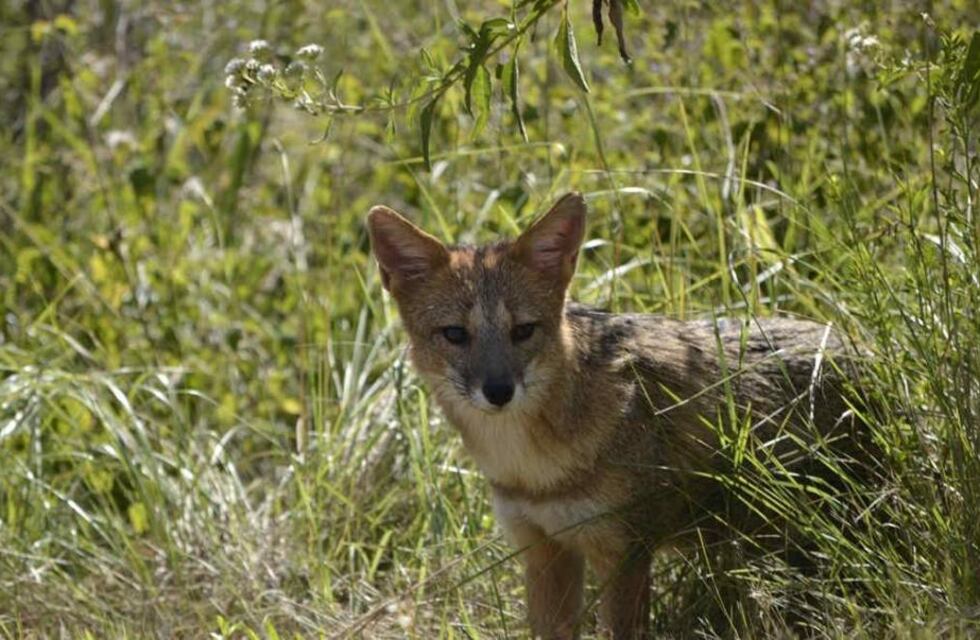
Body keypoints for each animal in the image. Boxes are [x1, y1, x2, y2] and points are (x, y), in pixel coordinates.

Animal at [366, 192, 866, 639]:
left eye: (523, 331)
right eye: (455, 334)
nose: (499, 392)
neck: (534, 468)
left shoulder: (625, 553)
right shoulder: (544, 549)